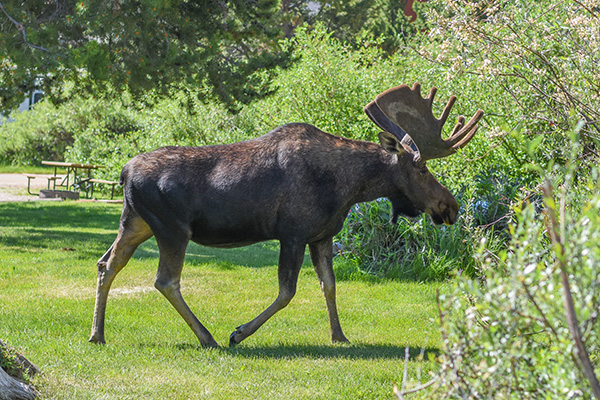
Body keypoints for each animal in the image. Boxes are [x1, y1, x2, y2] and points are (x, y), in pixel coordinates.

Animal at [88, 83, 482, 346]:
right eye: (422, 169)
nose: (450, 206)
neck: (351, 187)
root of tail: (123, 172)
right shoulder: (292, 232)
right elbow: (287, 292)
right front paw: (239, 333)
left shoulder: (322, 235)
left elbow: (329, 285)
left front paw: (339, 335)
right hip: (172, 228)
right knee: (165, 280)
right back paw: (208, 337)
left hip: (135, 222)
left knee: (107, 264)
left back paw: (97, 334)